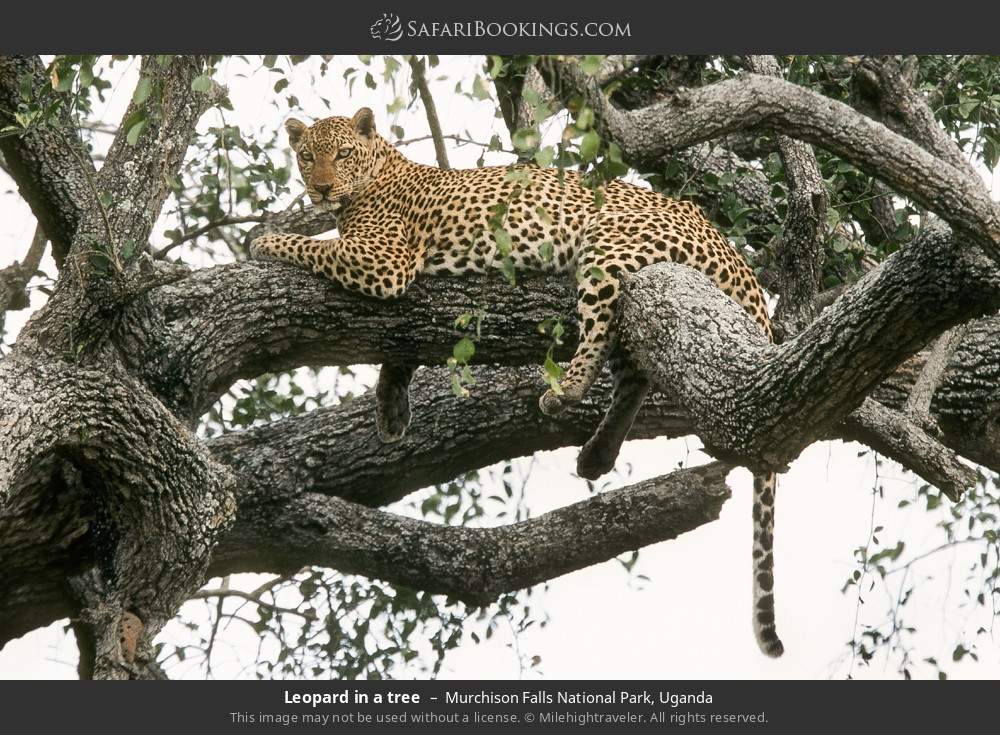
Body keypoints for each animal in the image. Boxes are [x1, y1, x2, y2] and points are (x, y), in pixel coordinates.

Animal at [250, 107, 785, 658]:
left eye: (342, 155)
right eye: (307, 157)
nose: (320, 189)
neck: (375, 174)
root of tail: (729, 248)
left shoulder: (381, 260)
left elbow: (311, 246)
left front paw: (263, 241)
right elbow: (399, 348)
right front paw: (392, 410)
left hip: (608, 245)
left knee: (601, 331)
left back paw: (566, 391)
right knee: (634, 370)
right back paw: (598, 452)